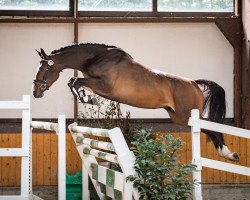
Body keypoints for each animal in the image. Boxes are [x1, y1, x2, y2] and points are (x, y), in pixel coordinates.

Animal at [32, 43, 238, 161]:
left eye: (44, 70)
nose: (35, 92)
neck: (96, 57)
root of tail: (194, 83)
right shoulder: (96, 84)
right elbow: (74, 82)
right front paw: (88, 98)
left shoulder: (105, 85)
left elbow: (74, 81)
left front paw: (87, 99)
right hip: (179, 117)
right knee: (206, 128)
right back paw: (226, 153)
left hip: (187, 115)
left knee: (210, 127)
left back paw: (229, 153)